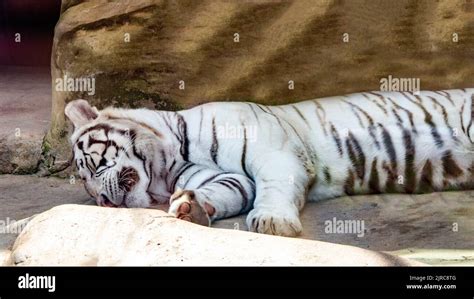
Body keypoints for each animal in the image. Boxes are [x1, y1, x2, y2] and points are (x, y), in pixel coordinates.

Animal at [65, 89, 474, 237]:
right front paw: (189, 208)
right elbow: (225, 190)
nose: (103, 201)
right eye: (89, 192)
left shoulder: (275, 153)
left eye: (93, 166)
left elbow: (273, 187)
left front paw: (273, 222)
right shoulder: (230, 178)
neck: (172, 157)